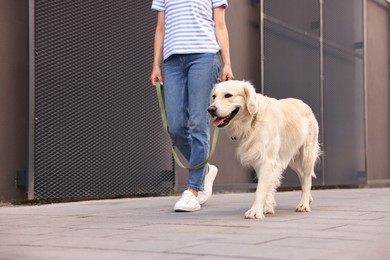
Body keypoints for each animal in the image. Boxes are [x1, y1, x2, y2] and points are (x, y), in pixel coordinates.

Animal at [207, 80, 320, 218]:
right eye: (214, 96)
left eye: (228, 95)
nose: (211, 109)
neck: (252, 121)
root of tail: (304, 104)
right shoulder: (259, 159)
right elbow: (266, 186)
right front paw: (266, 207)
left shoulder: (267, 160)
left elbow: (260, 189)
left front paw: (255, 211)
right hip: (293, 159)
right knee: (303, 177)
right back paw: (308, 199)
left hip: (306, 155)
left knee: (307, 179)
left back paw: (303, 204)